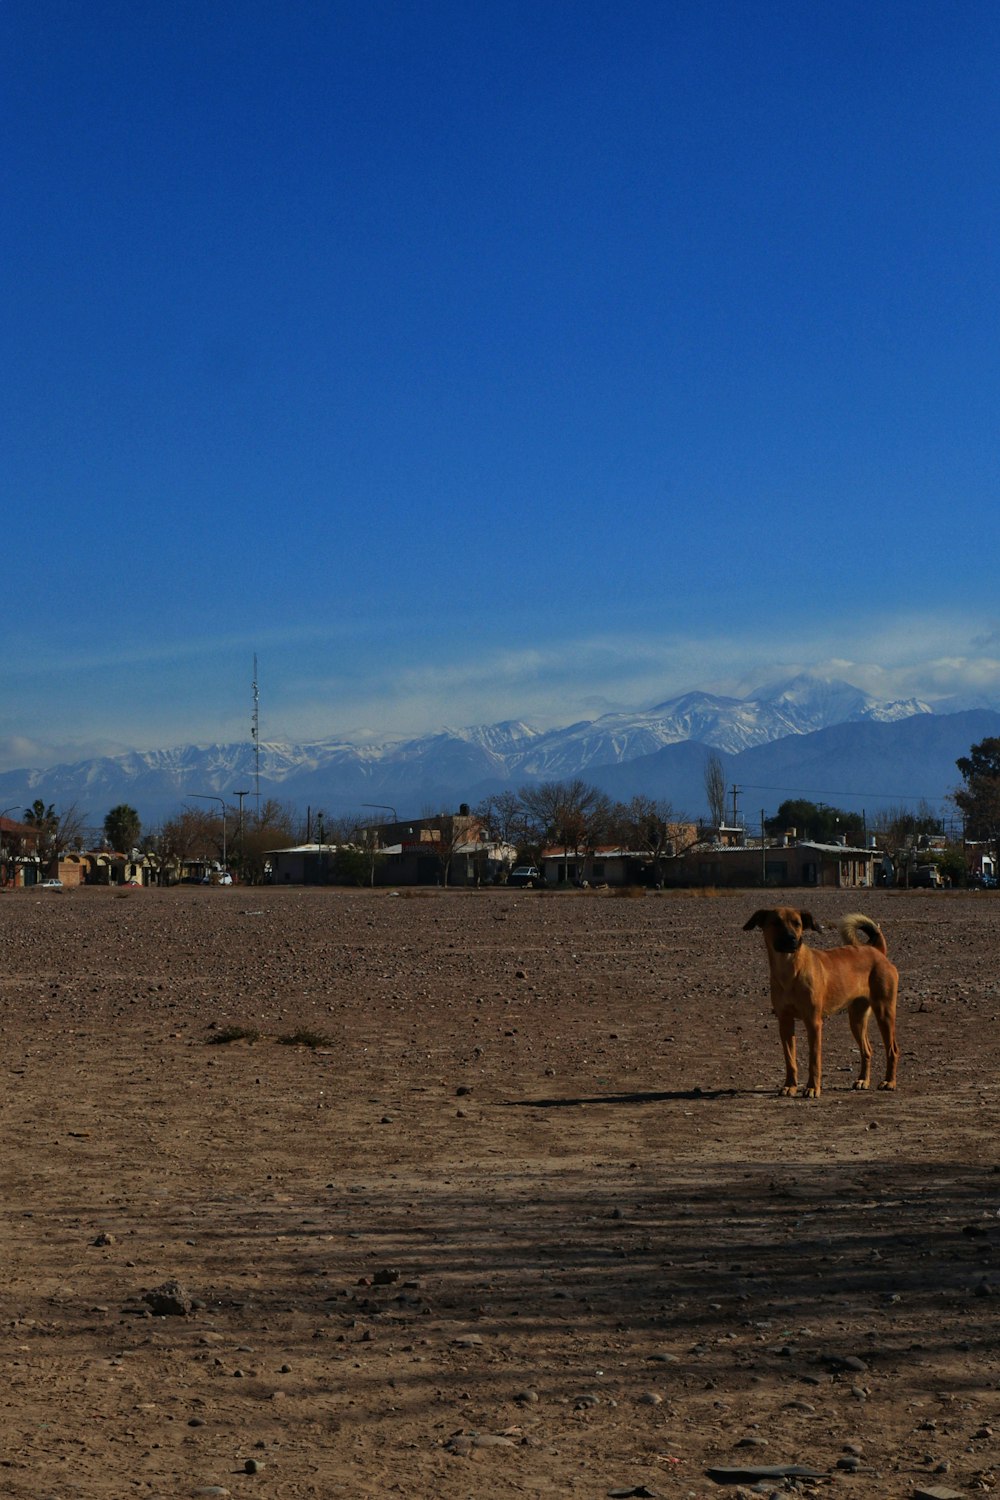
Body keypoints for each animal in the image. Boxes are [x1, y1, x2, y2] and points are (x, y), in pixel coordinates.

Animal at [743, 906, 899, 1098]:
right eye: (776, 923)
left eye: (797, 923)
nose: (792, 939)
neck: (789, 970)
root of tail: (876, 951)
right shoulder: (785, 1022)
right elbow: (790, 1059)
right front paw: (790, 1086)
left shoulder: (813, 1022)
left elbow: (814, 1060)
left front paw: (812, 1088)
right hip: (856, 1018)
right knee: (867, 1050)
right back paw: (863, 1080)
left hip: (884, 1012)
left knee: (893, 1050)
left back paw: (889, 1082)